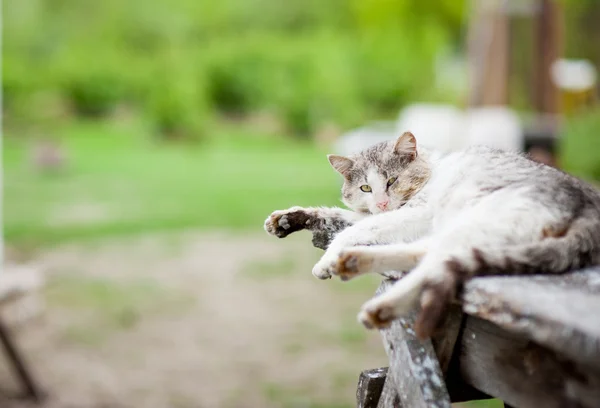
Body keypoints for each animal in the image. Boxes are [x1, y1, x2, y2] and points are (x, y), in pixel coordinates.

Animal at [264, 132, 600, 340]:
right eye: (365, 188)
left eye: (392, 180)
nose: (382, 203)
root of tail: (589, 208)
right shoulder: (384, 215)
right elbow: (341, 219)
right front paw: (287, 220)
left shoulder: (415, 214)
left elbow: (355, 229)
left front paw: (327, 260)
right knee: (426, 253)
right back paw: (356, 261)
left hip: (478, 218)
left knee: (436, 263)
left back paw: (379, 305)